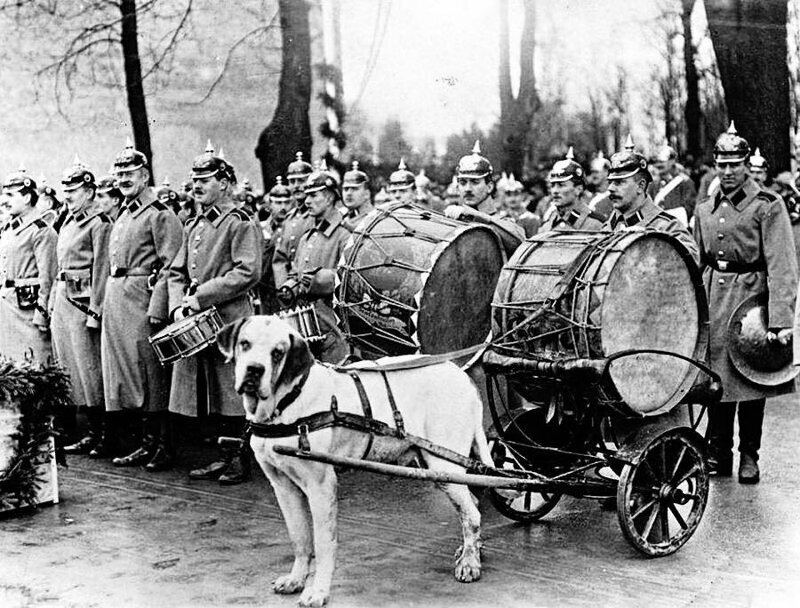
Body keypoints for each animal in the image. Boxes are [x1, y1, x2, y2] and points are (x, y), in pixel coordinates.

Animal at [219, 316, 494, 604]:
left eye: (277, 352)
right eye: (244, 344)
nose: (254, 370)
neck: (286, 404)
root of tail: (463, 377)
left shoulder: (321, 486)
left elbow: (323, 543)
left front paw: (318, 591)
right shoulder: (283, 487)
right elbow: (300, 537)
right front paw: (296, 578)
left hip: (444, 466)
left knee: (472, 514)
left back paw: (470, 563)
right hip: (439, 468)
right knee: (471, 505)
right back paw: (470, 551)